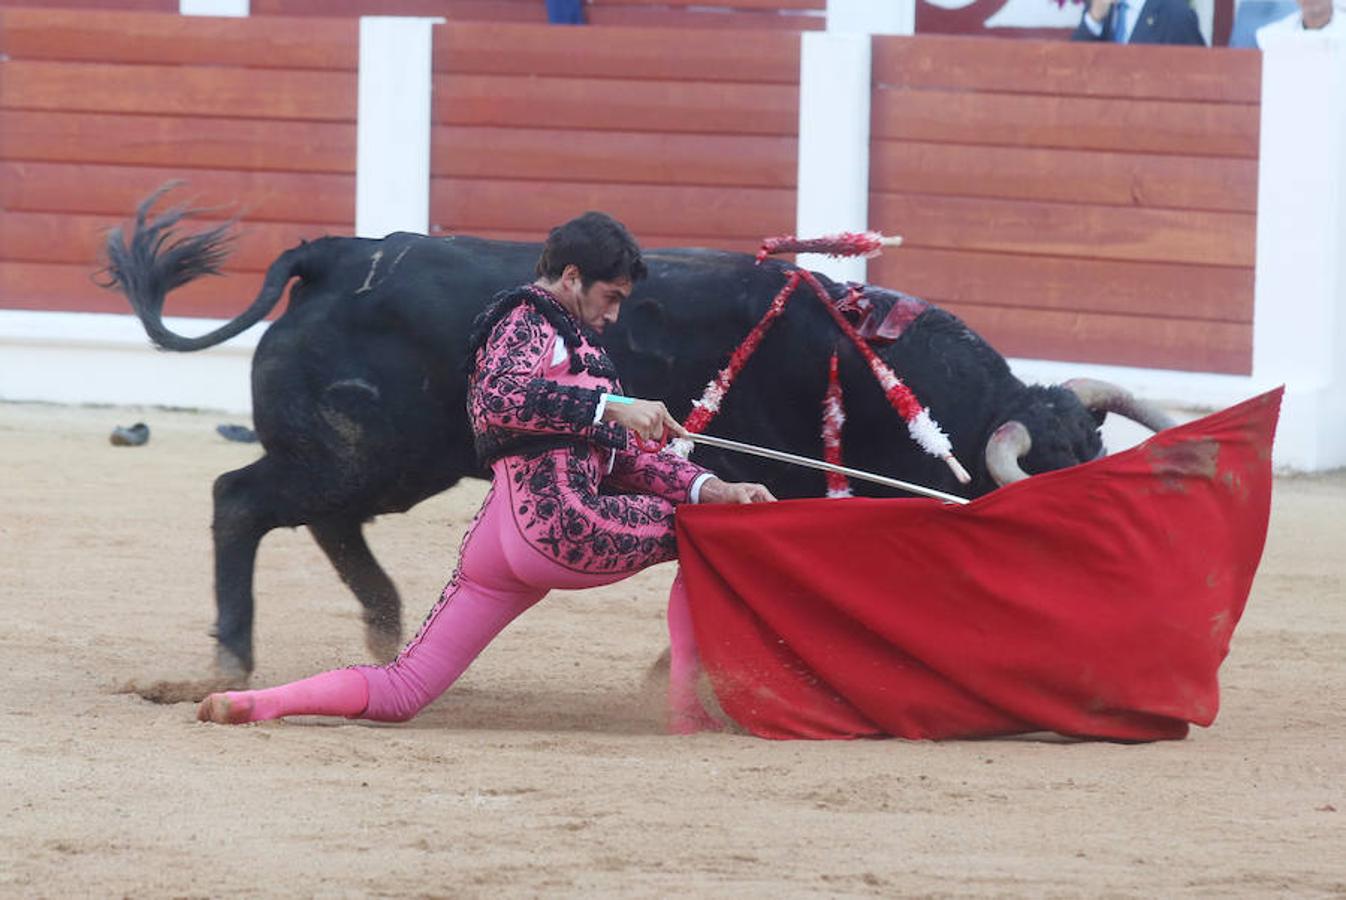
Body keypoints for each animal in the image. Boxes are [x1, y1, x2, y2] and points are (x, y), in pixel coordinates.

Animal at [104, 195, 1173, 672]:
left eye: (1101, 459)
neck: (876, 369)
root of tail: (334, 253)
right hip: (357, 454)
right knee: (240, 500)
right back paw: (233, 658)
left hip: (382, 465)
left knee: (320, 518)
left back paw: (380, 627)